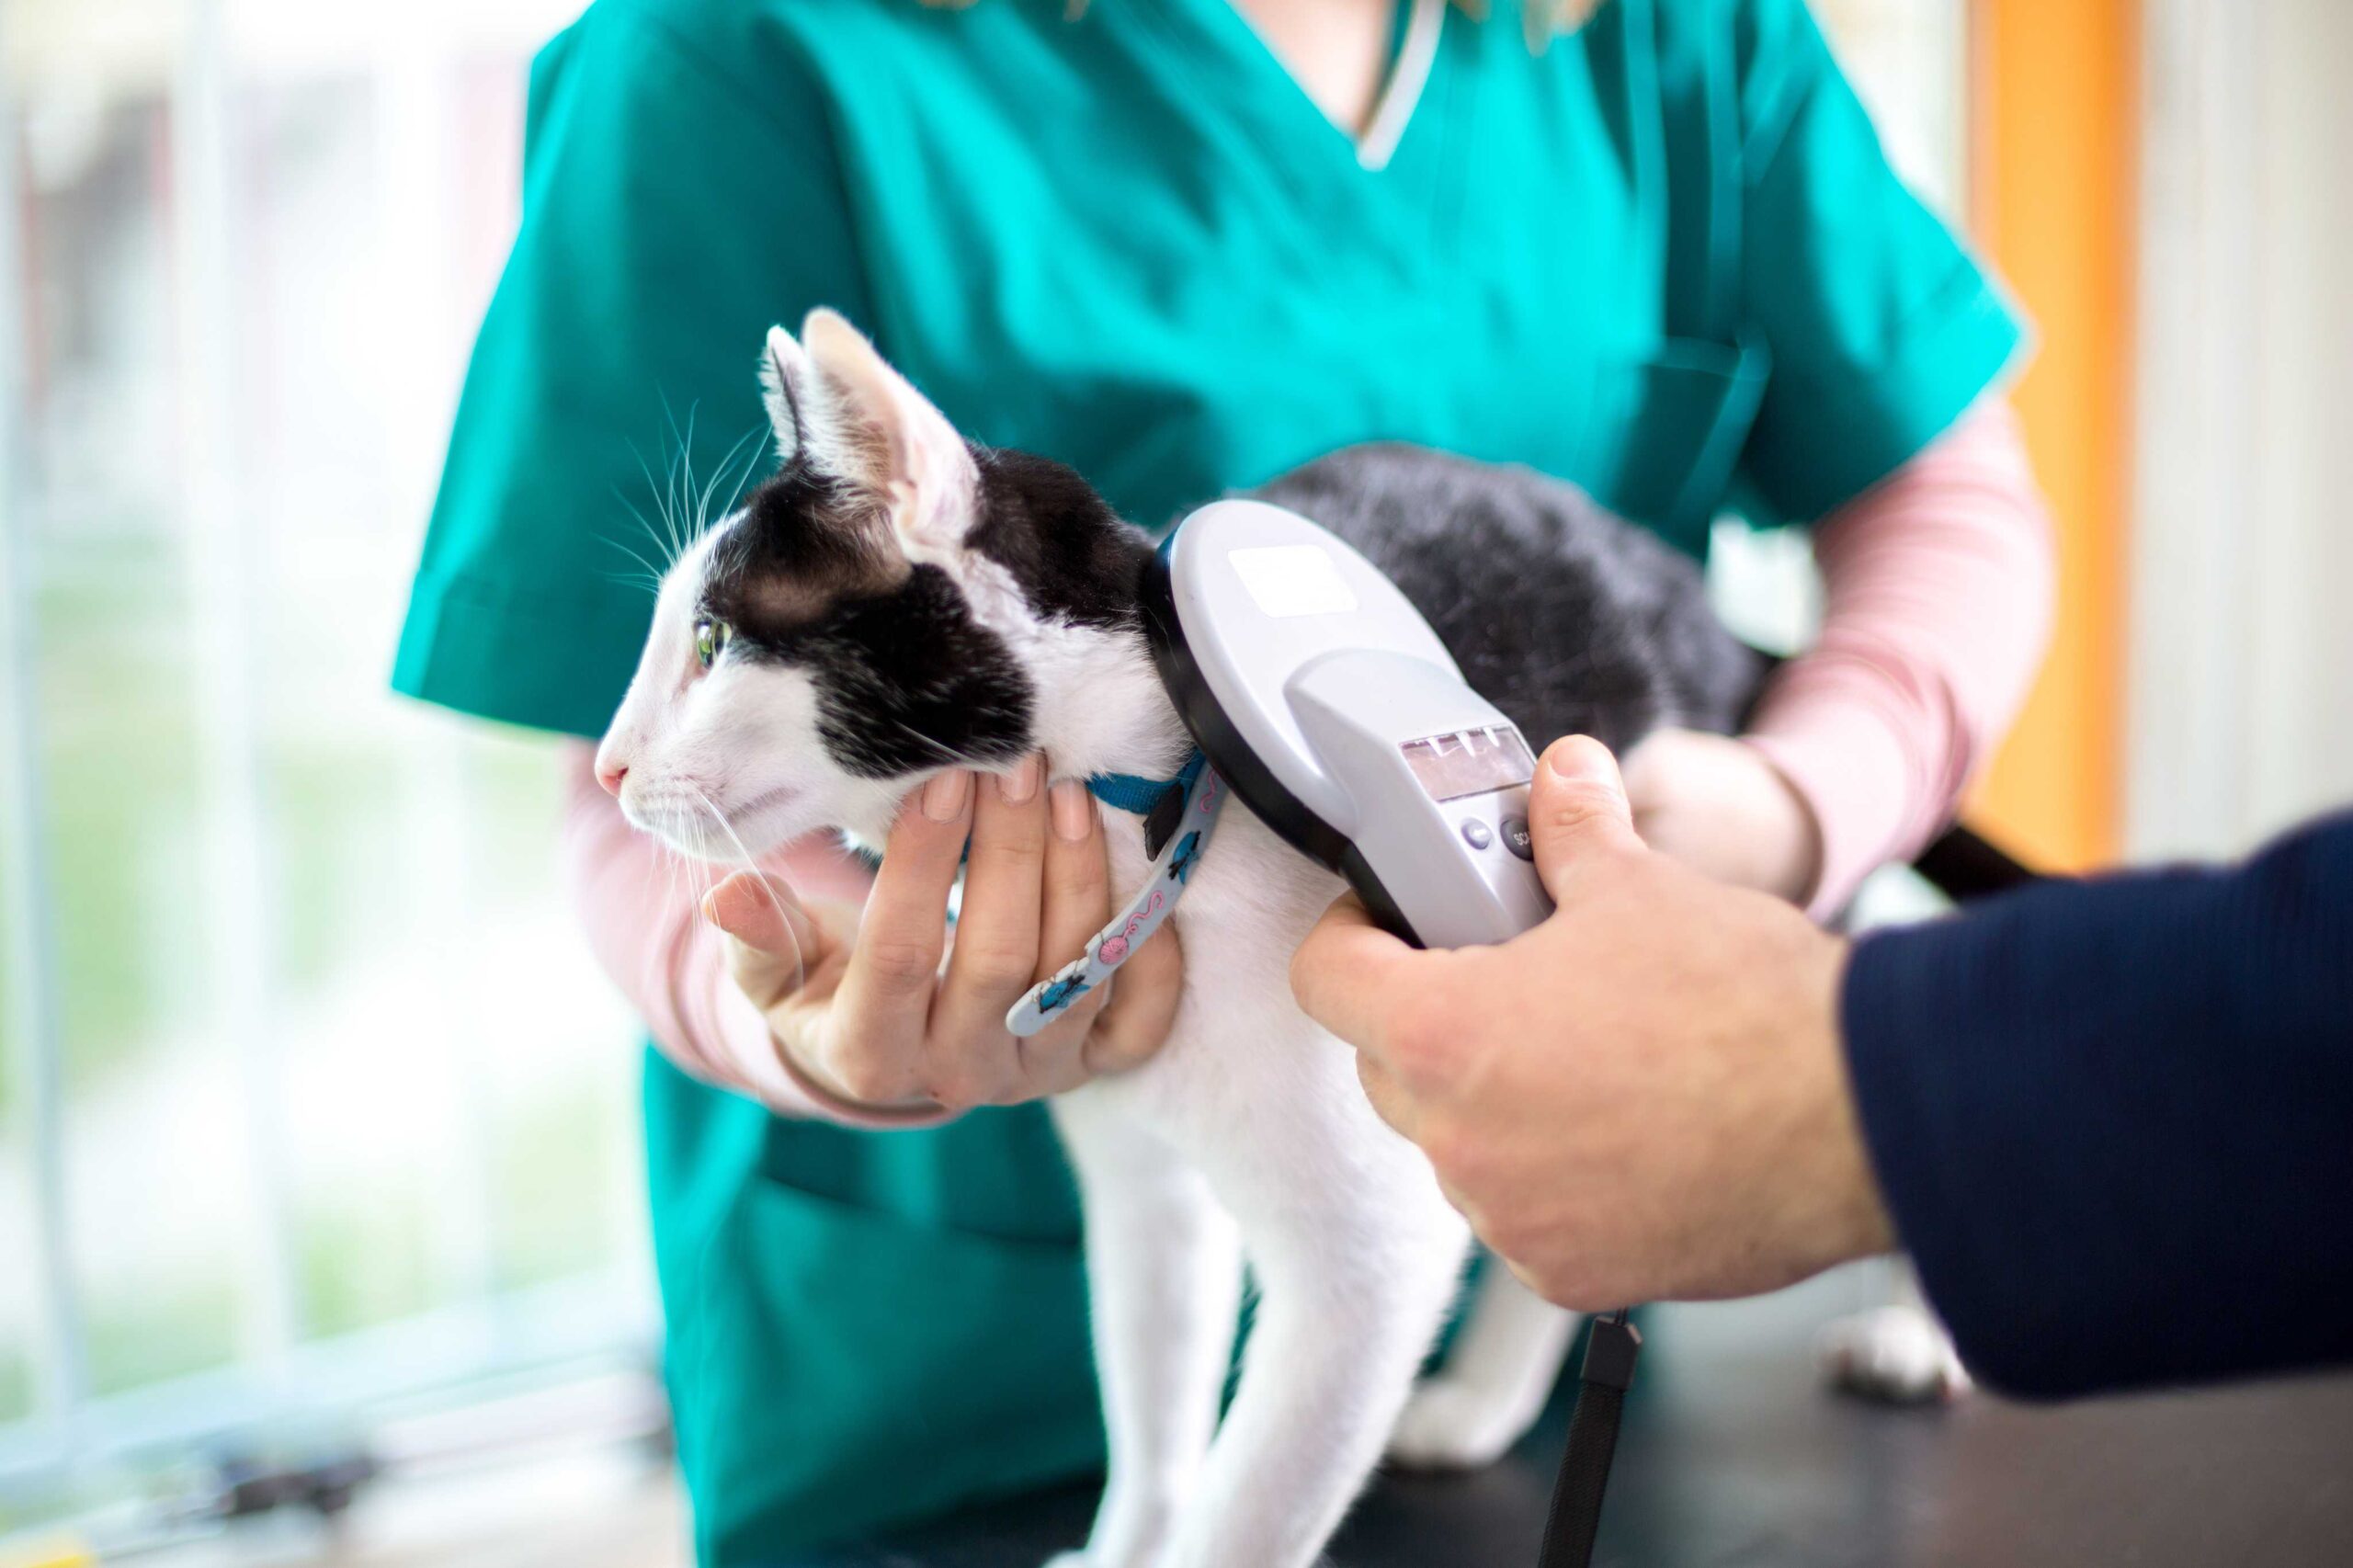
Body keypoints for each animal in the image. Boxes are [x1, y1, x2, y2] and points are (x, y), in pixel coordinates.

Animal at [597, 311, 1759, 1553]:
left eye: (709, 641)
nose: (607, 765)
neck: (1150, 830)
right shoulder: (1143, 1191)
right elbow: (1154, 1409)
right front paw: (1126, 1544)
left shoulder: (1367, 1269)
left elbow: (1246, 1511)